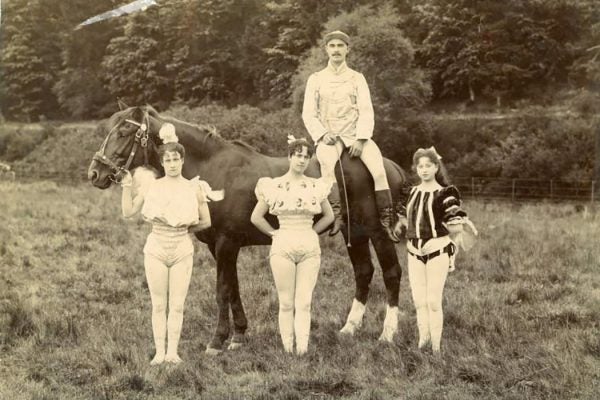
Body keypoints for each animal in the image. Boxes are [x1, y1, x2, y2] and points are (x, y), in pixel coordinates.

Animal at [88, 104, 408, 354]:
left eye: (123, 133)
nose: (95, 173)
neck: (214, 169)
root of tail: (390, 166)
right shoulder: (219, 247)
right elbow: (233, 289)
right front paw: (238, 335)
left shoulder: (226, 243)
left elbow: (222, 290)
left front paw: (217, 340)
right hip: (355, 233)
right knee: (363, 271)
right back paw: (349, 328)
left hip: (377, 232)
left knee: (391, 272)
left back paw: (388, 333)